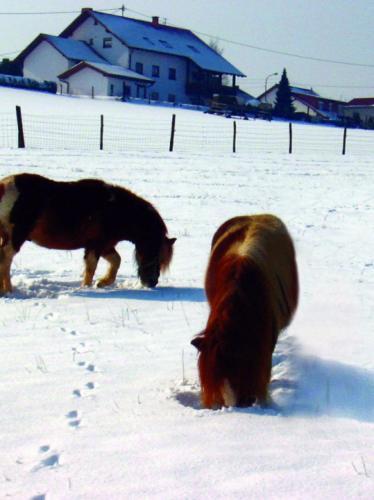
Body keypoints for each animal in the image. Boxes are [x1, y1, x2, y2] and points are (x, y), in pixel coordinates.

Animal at [0, 174, 175, 294]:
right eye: (156, 253)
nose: (152, 282)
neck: (114, 210)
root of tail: (4, 186)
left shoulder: (105, 246)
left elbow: (116, 261)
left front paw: (103, 282)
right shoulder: (95, 246)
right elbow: (91, 268)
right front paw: (87, 287)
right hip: (15, 237)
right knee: (6, 258)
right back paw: (8, 290)